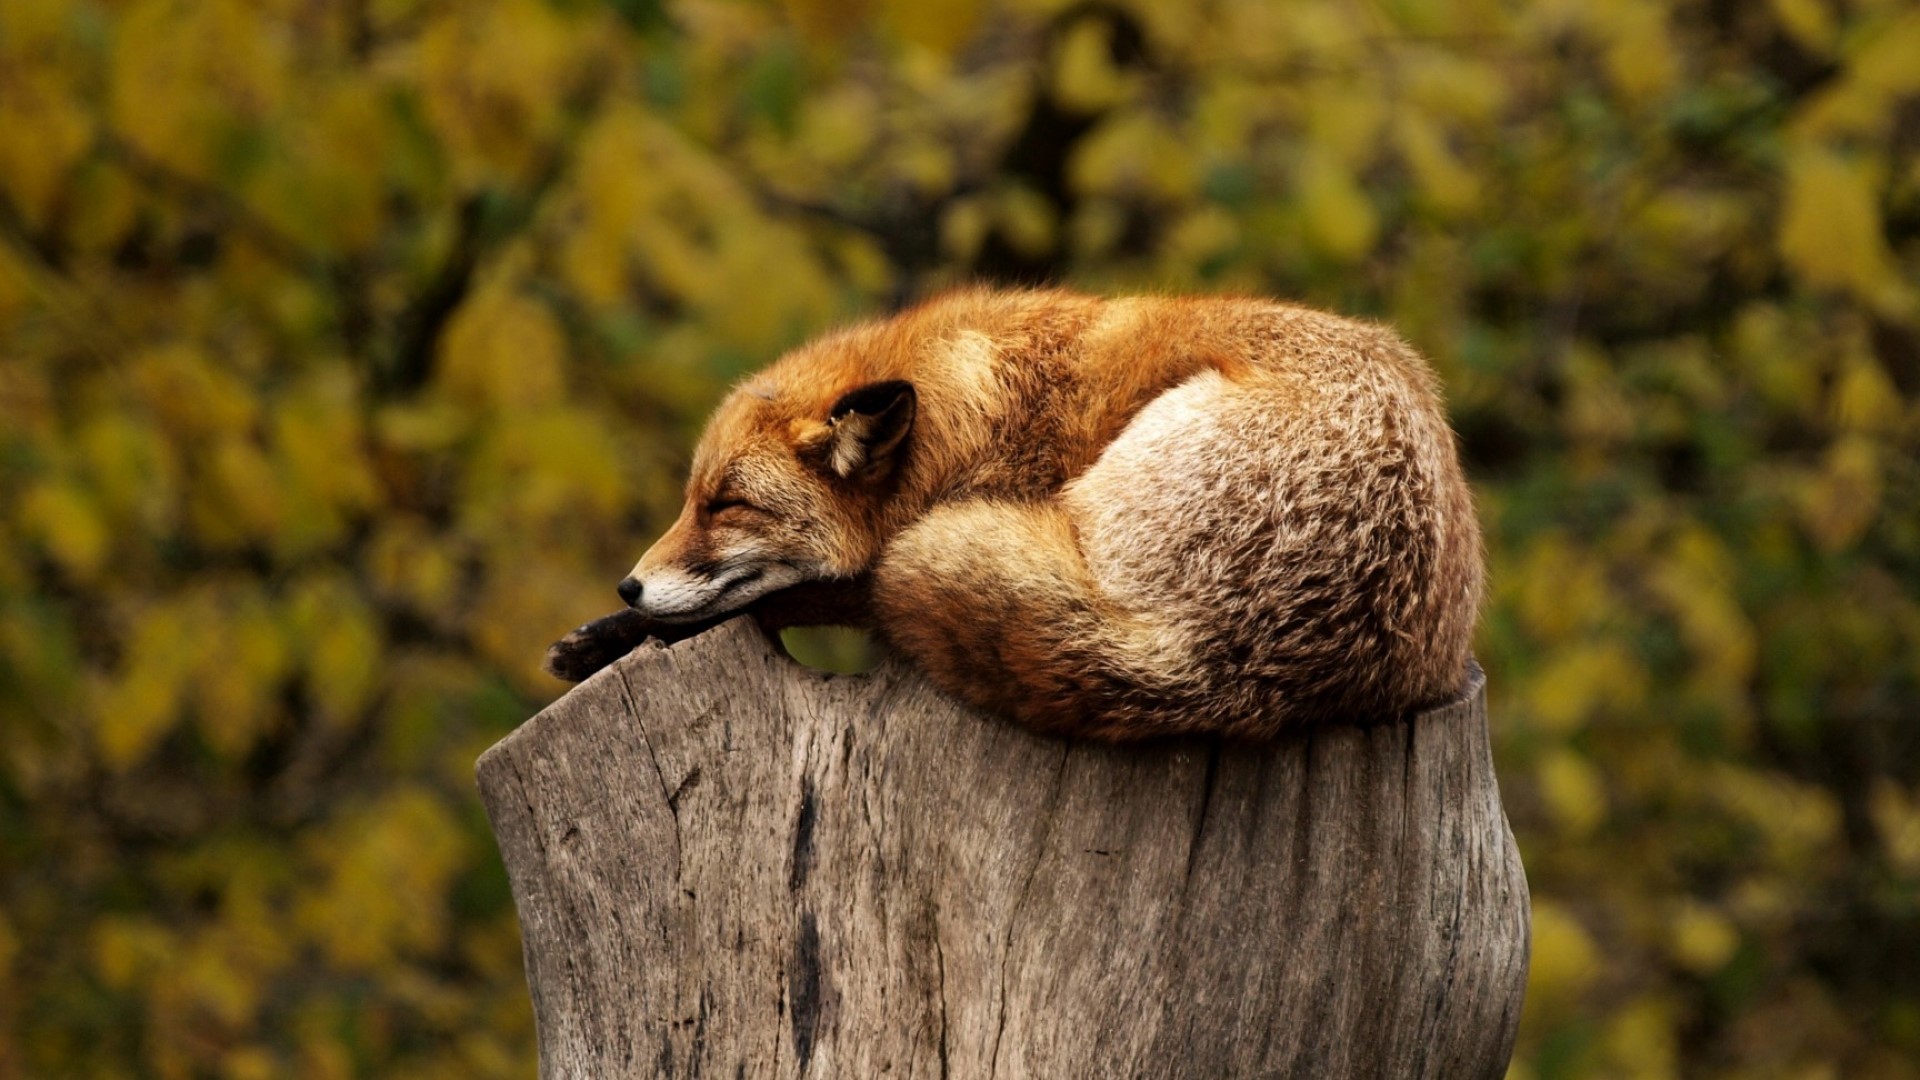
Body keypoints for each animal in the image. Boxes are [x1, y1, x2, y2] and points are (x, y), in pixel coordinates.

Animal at [545, 288, 1483, 740]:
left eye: (727, 505)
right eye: (691, 499)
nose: (628, 586)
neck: (972, 417)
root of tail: (1214, 663)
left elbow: (793, 596)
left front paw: (615, 635)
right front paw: (603, 635)